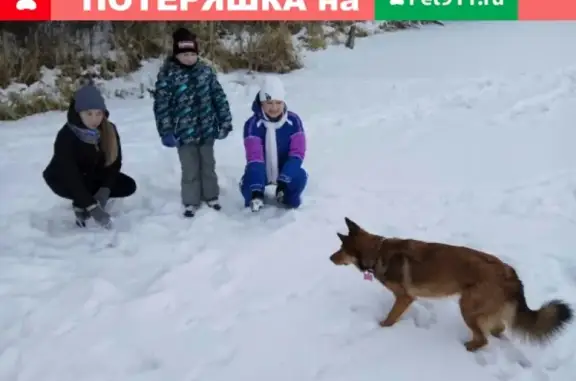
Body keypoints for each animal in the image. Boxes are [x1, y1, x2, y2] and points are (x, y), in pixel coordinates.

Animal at [328, 217, 572, 350]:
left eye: (341, 249)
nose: (330, 258)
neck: (377, 252)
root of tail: (510, 273)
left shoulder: (405, 298)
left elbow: (389, 319)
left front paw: (381, 329)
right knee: (498, 327)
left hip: (467, 307)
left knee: (483, 339)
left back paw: (470, 347)